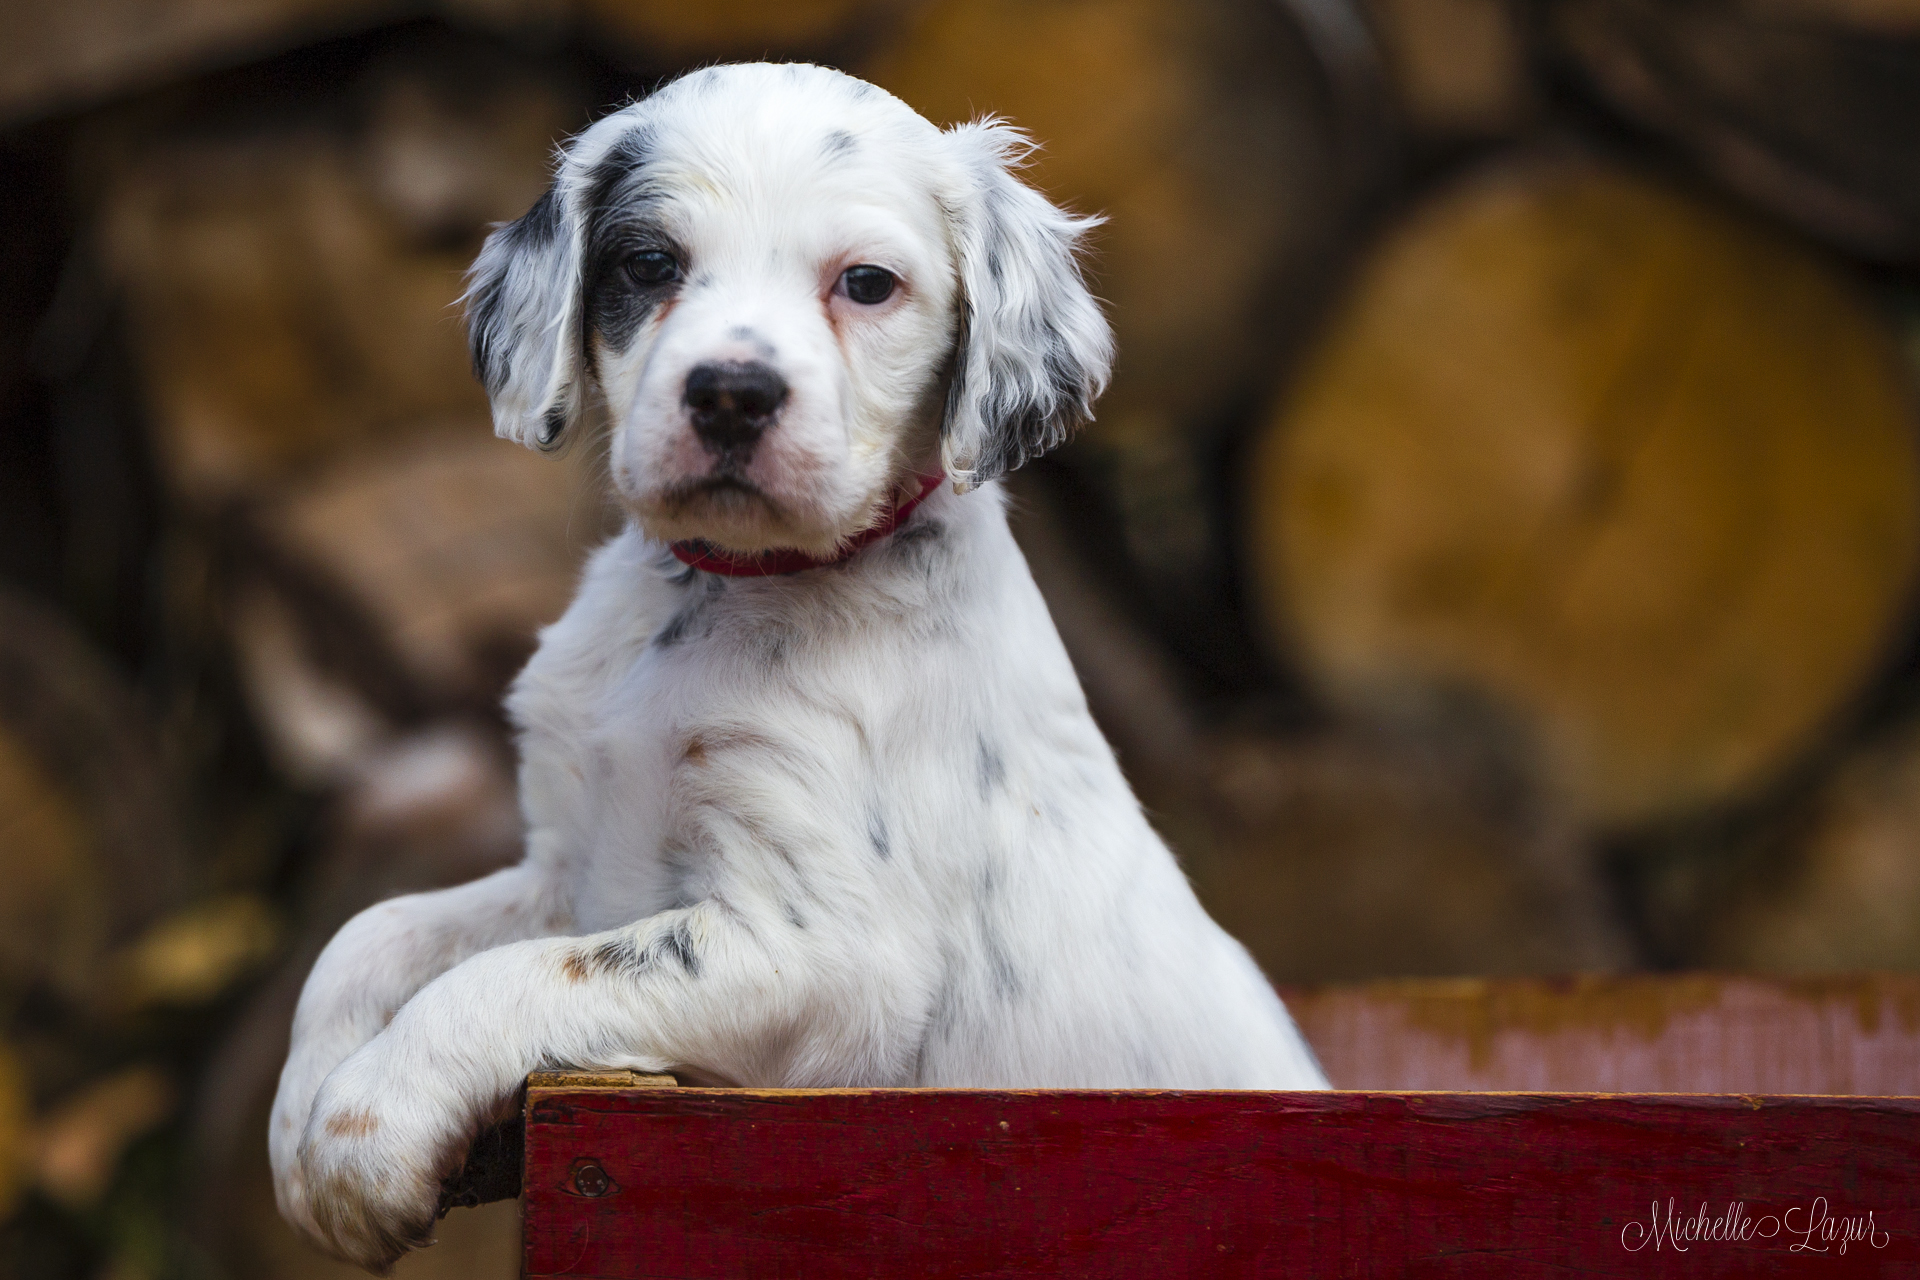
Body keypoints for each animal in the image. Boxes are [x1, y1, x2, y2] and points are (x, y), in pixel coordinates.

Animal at [270, 65, 1328, 1274]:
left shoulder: (833, 959)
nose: (731, 393)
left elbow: (526, 975)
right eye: (649, 264)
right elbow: (376, 931)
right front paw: (300, 1119)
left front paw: (366, 1128)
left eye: (866, 284)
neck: (727, 591)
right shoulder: (572, 866)